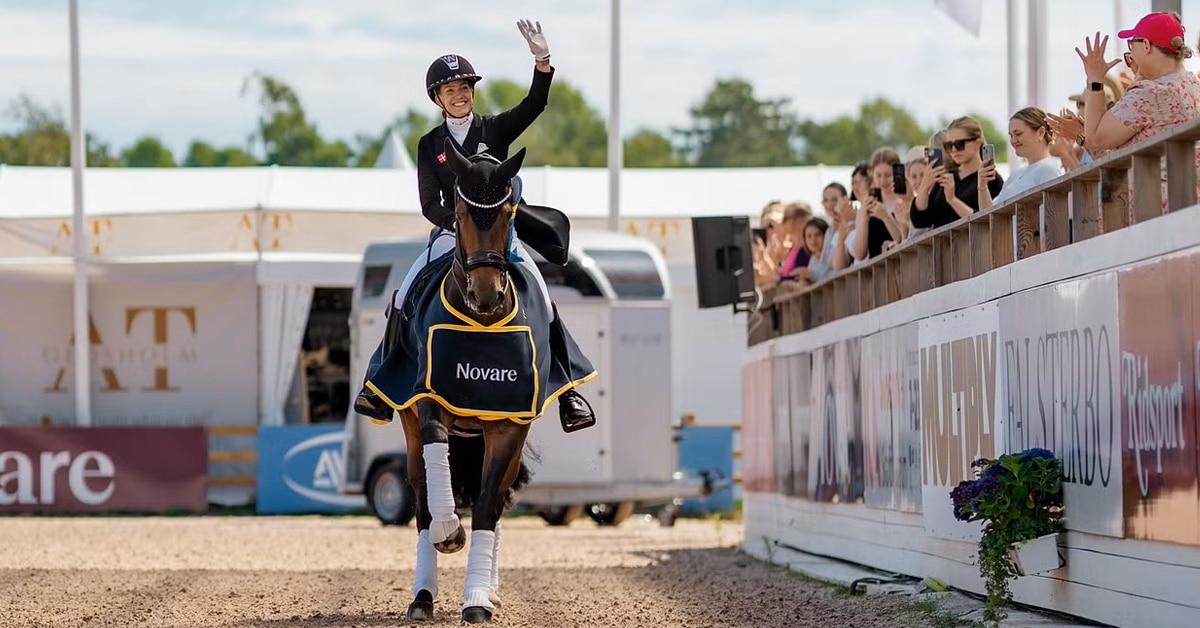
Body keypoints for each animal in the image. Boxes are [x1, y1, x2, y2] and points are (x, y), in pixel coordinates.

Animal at [362, 137, 592, 623]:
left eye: (507, 213)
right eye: (461, 215)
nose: (485, 295)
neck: (481, 326)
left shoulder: (508, 426)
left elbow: (487, 506)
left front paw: (478, 601)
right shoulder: (428, 401)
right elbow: (437, 477)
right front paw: (449, 533)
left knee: (499, 502)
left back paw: (488, 589)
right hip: (413, 432)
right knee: (421, 503)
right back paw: (422, 596)